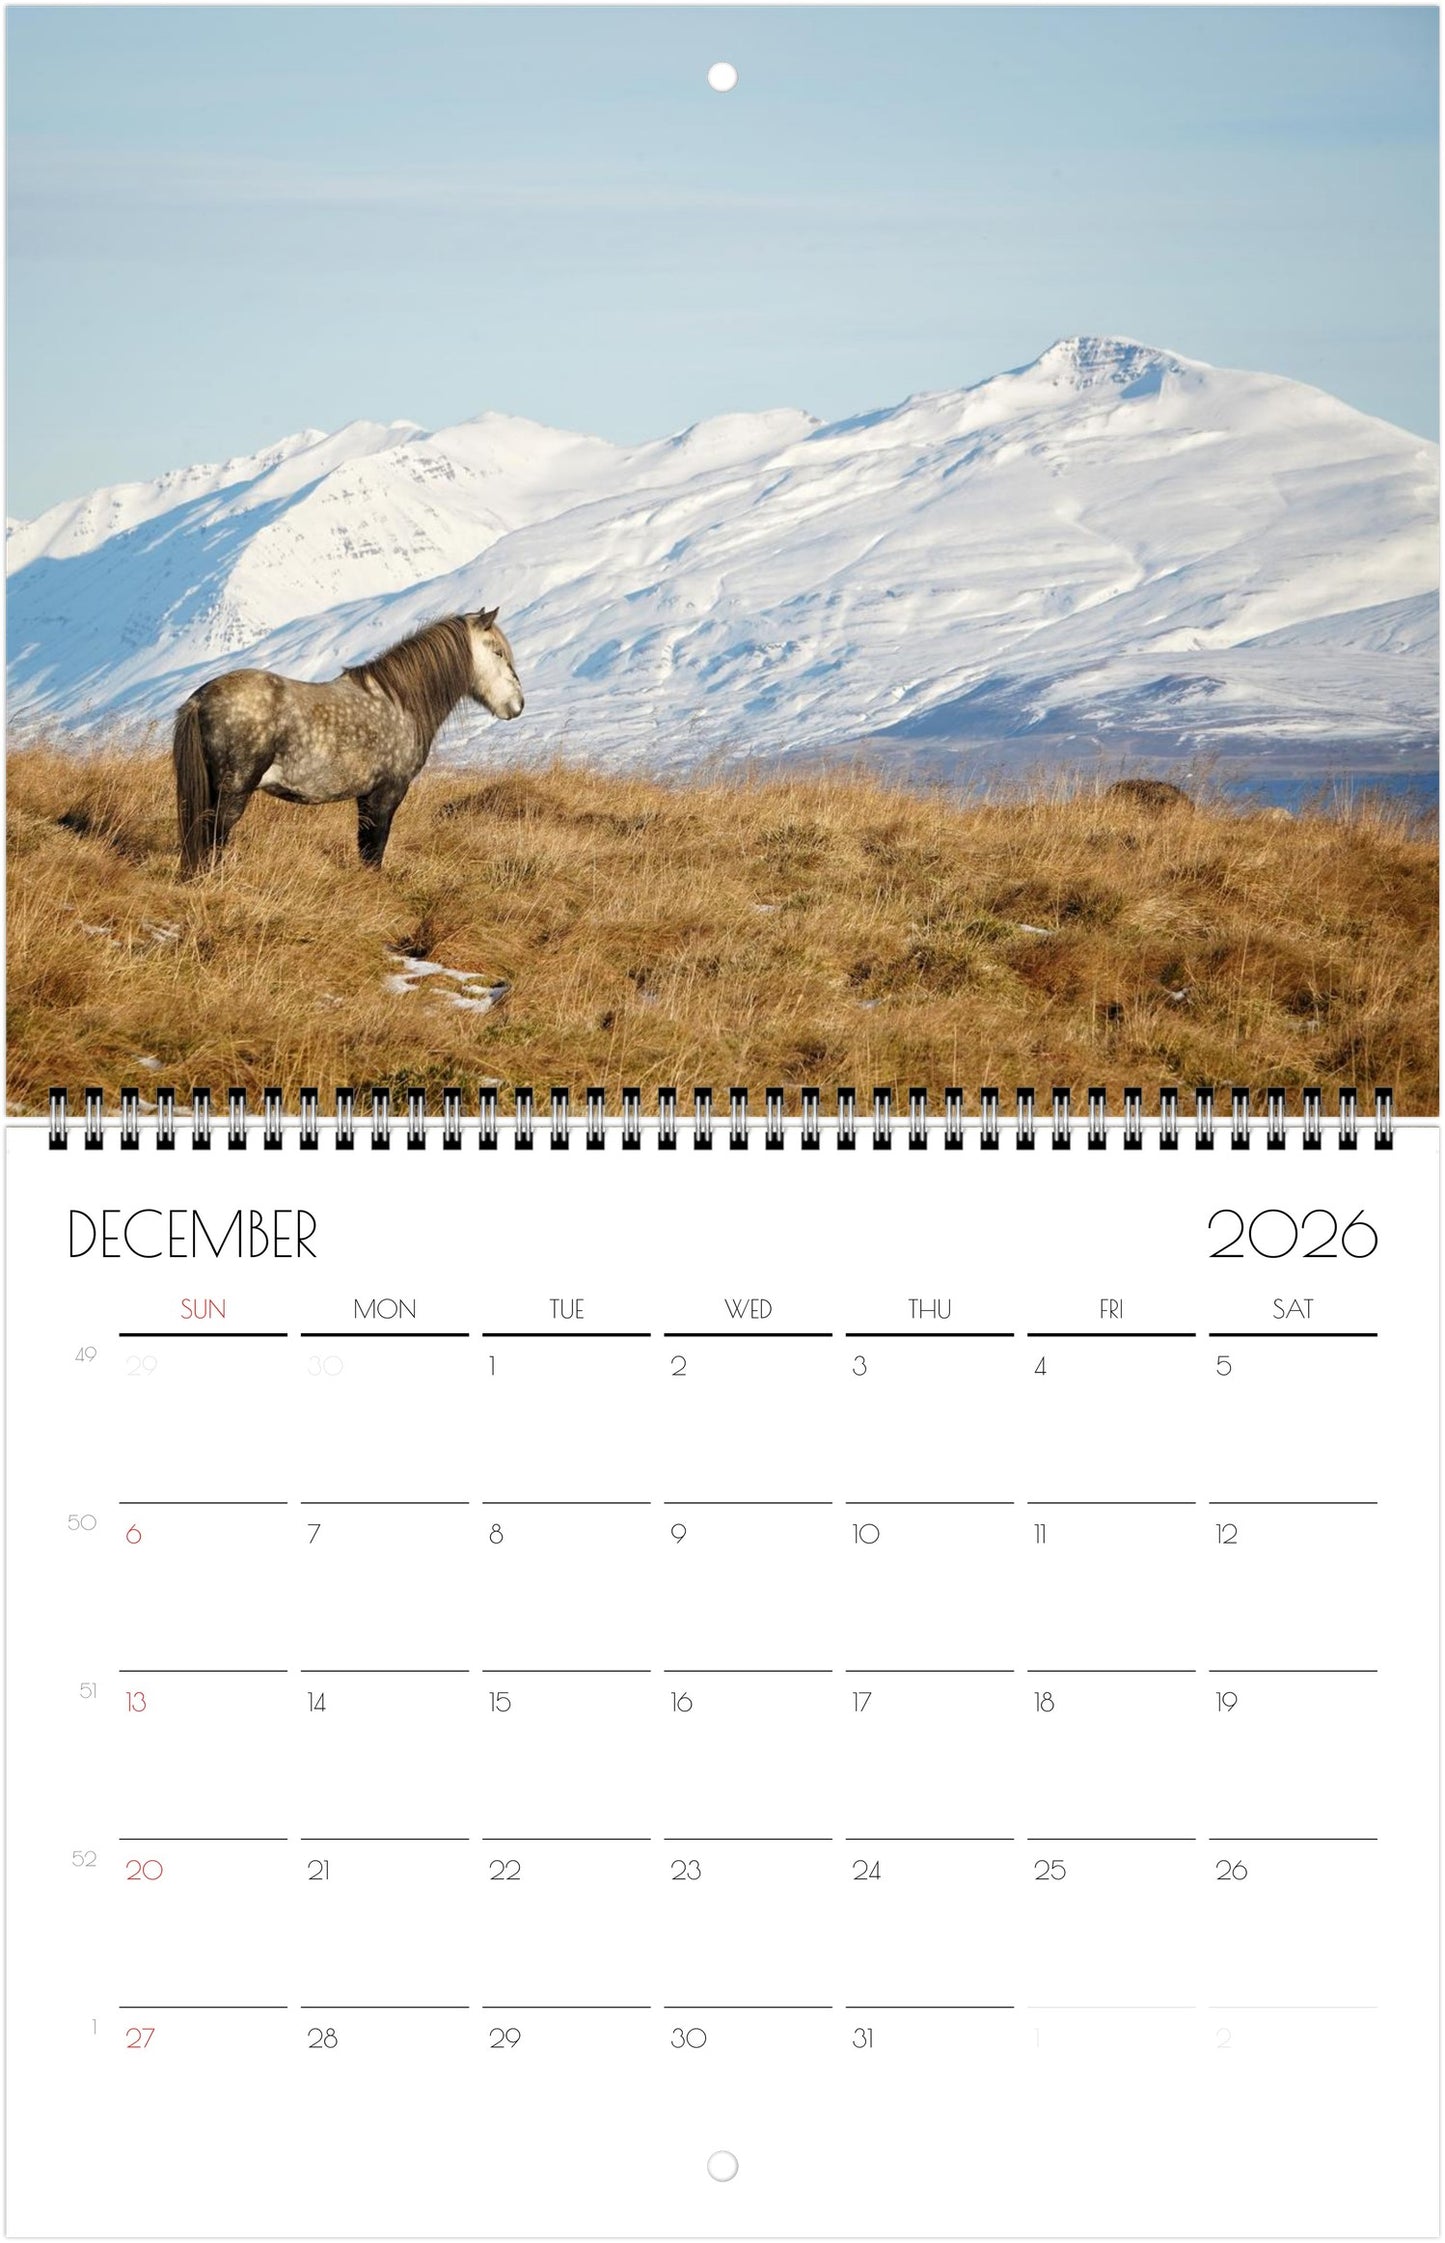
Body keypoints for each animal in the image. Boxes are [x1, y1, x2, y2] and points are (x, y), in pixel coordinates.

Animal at [172, 609, 524, 874]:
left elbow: (366, 845)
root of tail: (200, 700)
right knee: (215, 836)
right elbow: (374, 849)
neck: (399, 702)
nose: (517, 704)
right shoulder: (387, 793)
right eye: (498, 652)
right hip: (233, 790)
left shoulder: (366, 797)